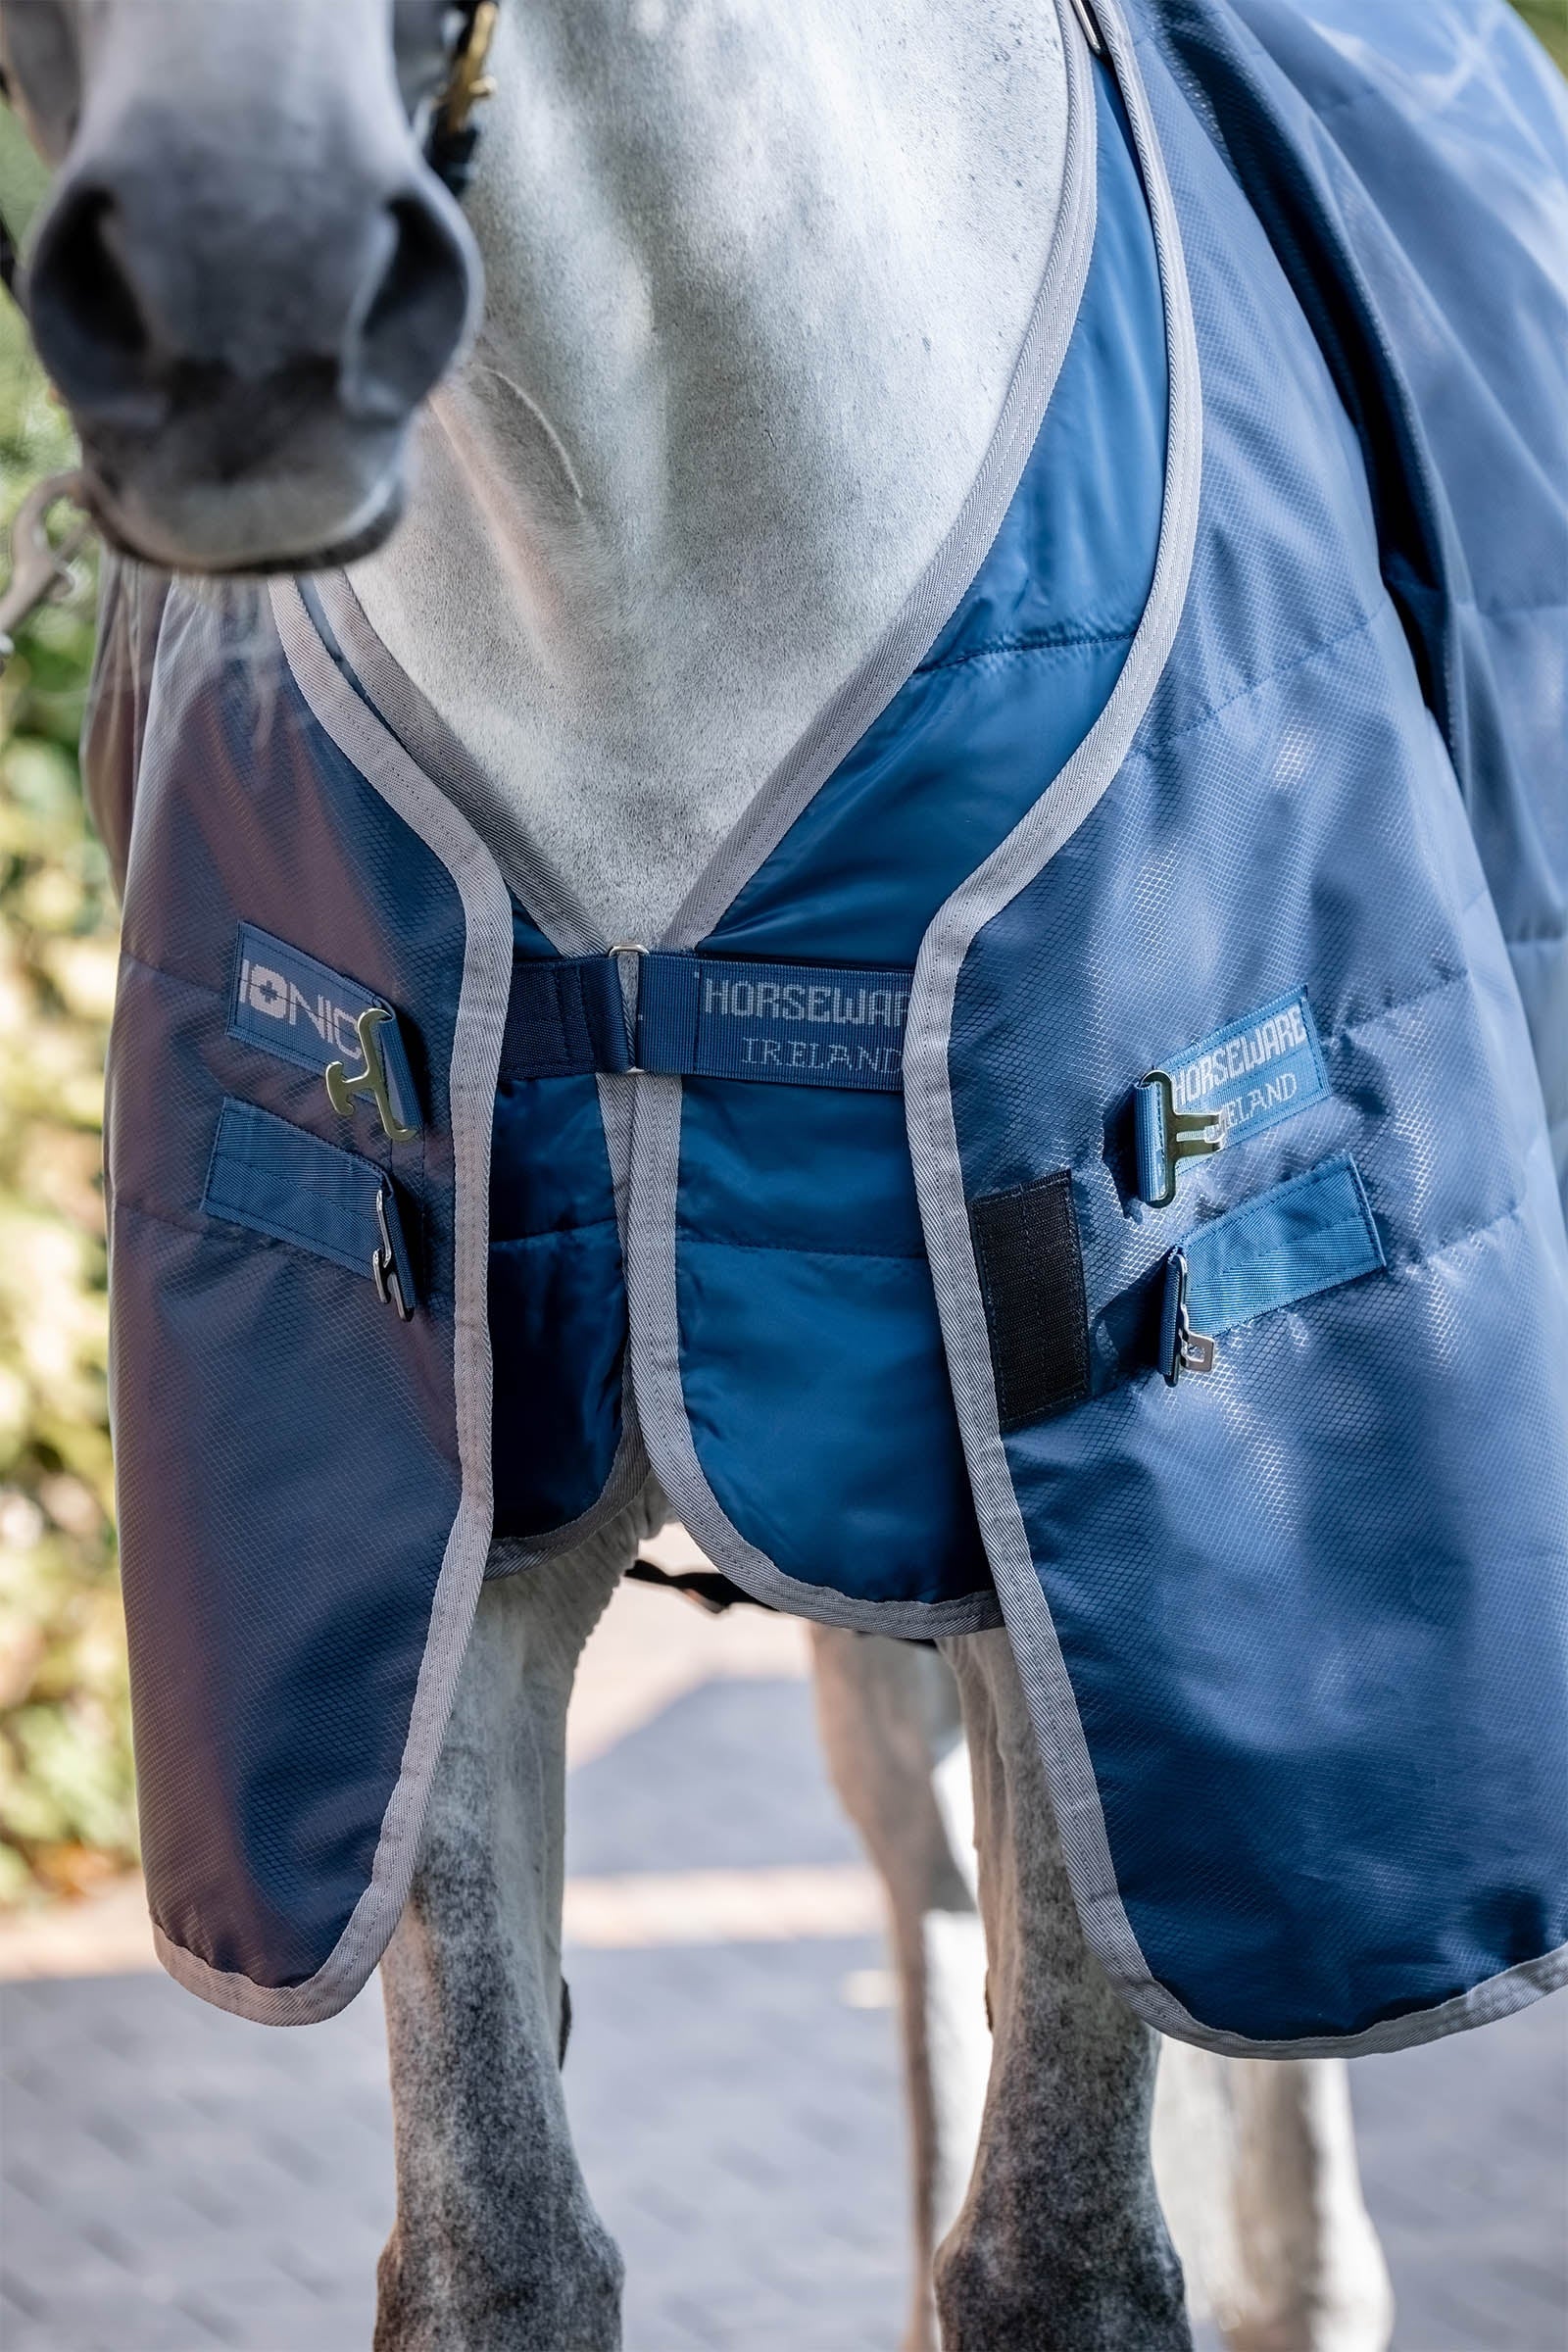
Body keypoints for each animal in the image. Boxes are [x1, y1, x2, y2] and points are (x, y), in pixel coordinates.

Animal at [15, 0, 1557, 2342]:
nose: (239, 291)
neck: (647, 562)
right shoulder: (437, 1538)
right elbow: (501, 2250)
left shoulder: (1077, 1519)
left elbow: (1059, 2257)